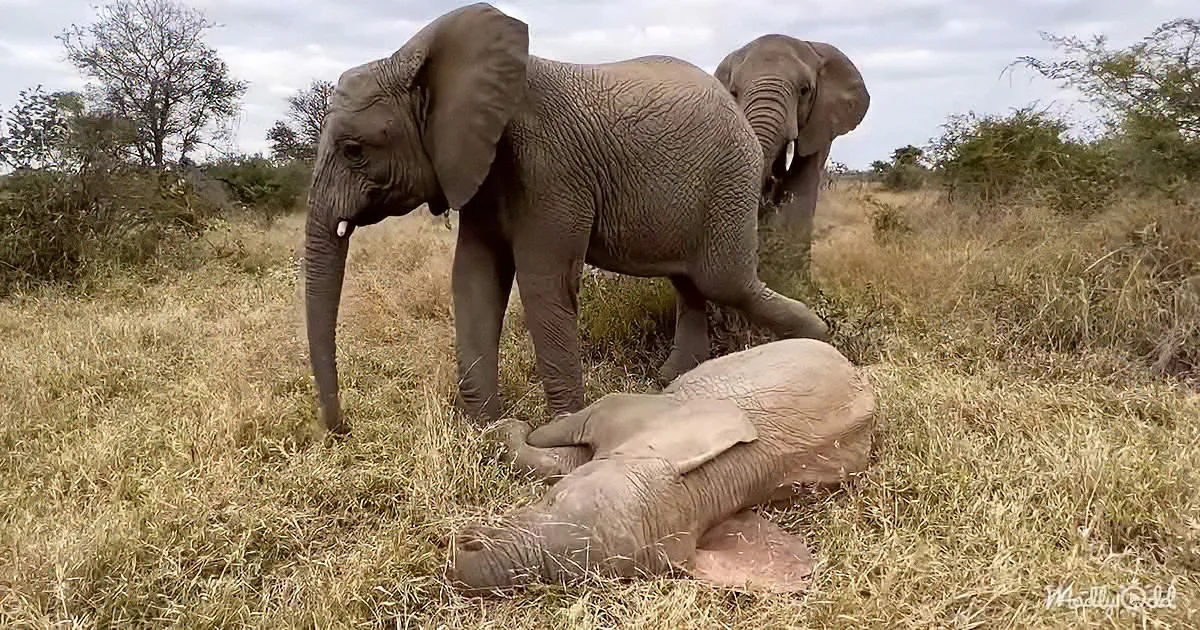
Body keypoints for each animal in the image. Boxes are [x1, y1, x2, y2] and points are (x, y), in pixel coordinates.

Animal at [303, 3, 832, 434]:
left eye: (353, 150)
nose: (342, 428)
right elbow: (474, 277)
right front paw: (484, 430)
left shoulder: (549, 169)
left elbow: (543, 282)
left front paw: (564, 427)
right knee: (691, 281)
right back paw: (676, 380)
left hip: (729, 178)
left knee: (723, 279)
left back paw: (821, 344)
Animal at [447, 337, 877, 595]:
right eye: (554, 500)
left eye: (564, 581)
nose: (463, 550)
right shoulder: (637, 413)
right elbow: (562, 436)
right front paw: (509, 427)